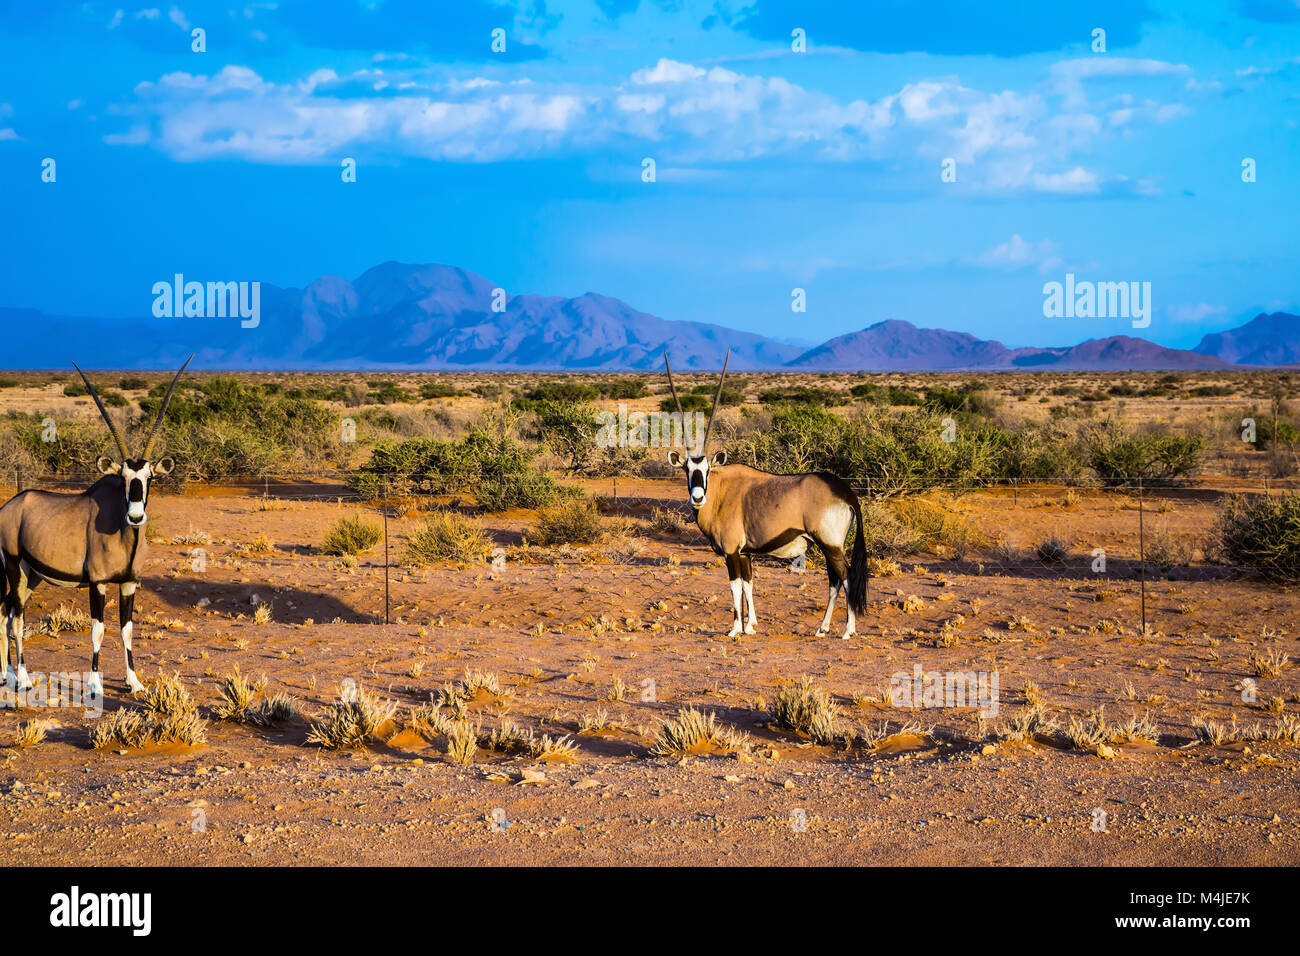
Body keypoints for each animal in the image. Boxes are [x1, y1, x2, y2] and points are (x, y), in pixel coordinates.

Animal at [0, 358, 191, 697]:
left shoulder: (128, 583)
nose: (135, 517)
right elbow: (98, 630)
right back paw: (21, 678)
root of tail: (11, 506)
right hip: (15, 566)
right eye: (123, 478)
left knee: (4, 611)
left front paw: (134, 682)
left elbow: (127, 629)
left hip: (31, 575)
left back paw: (6, 674)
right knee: (16, 616)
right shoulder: (98, 582)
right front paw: (94, 686)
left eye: (150, 477)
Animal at [665, 351, 868, 634]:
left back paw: (848, 631)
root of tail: (844, 491)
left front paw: (735, 629)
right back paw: (822, 628)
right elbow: (748, 584)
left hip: (830, 544)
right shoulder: (745, 552)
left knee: (846, 576)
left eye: (707, 469)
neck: (720, 493)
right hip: (829, 546)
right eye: (686, 469)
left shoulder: (731, 551)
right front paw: (751, 625)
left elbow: (735, 586)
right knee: (834, 580)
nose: (697, 497)